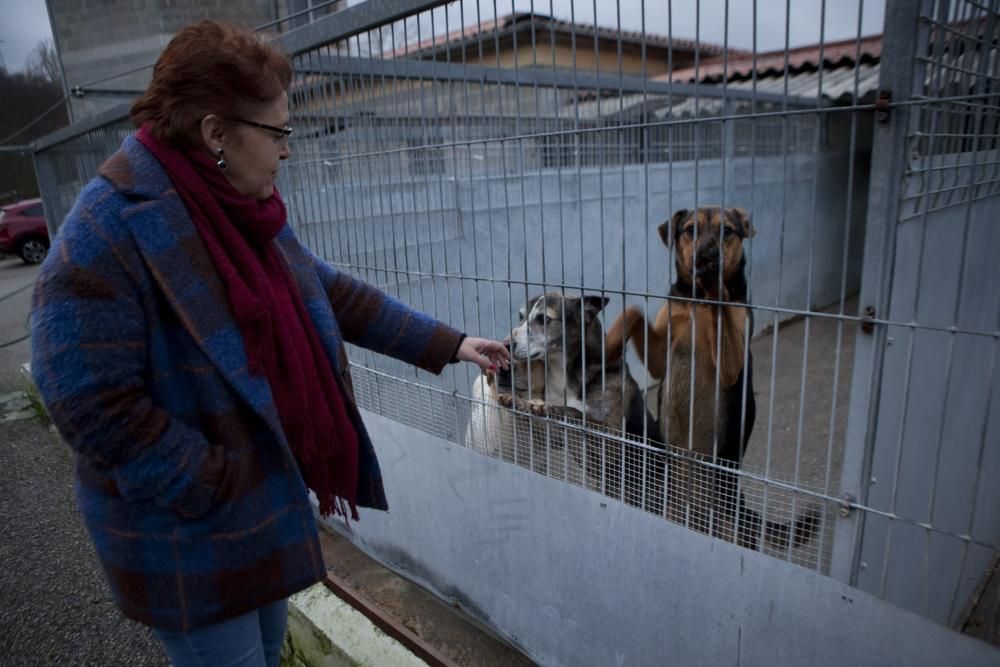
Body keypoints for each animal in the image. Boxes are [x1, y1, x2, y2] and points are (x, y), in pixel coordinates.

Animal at [462, 290, 652, 498]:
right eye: (521, 316)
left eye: (543, 318)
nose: (505, 345)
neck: (566, 378)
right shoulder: (553, 437)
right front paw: (523, 404)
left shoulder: (612, 438)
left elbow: (576, 413)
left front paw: (551, 409)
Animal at [604, 206, 816, 552]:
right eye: (690, 229)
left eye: (727, 231)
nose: (707, 255)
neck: (698, 302)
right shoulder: (661, 356)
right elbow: (632, 311)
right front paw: (607, 344)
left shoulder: (731, 364)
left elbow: (725, 313)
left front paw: (719, 289)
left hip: (732, 532)